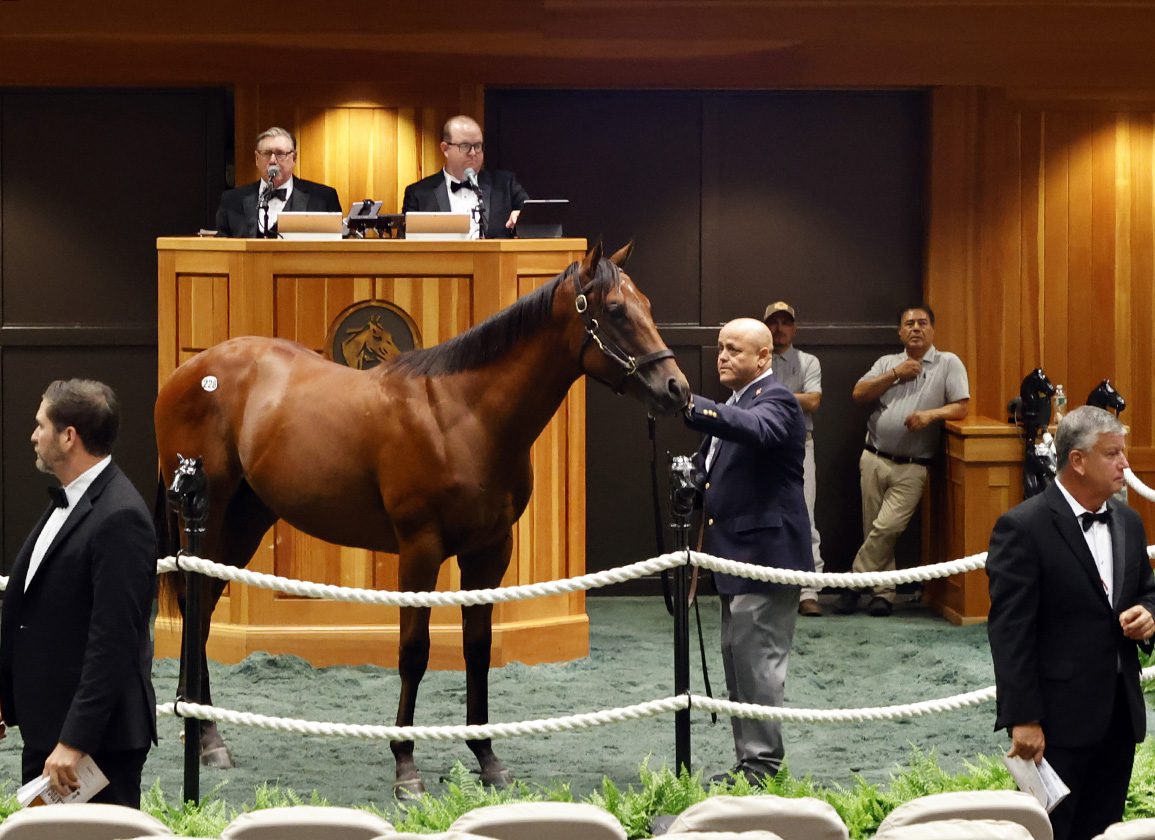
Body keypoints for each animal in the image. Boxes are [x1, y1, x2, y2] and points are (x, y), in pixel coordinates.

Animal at [157, 241, 688, 794]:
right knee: (195, 607)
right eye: (616, 310)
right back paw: (207, 738)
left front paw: (487, 757)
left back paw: (204, 732)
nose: (677, 388)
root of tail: (190, 372)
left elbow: (478, 648)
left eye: (646, 304)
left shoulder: (490, 552)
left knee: (202, 607)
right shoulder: (420, 550)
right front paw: (405, 765)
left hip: (244, 521)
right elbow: (414, 651)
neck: (464, 416)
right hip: (210, 517)